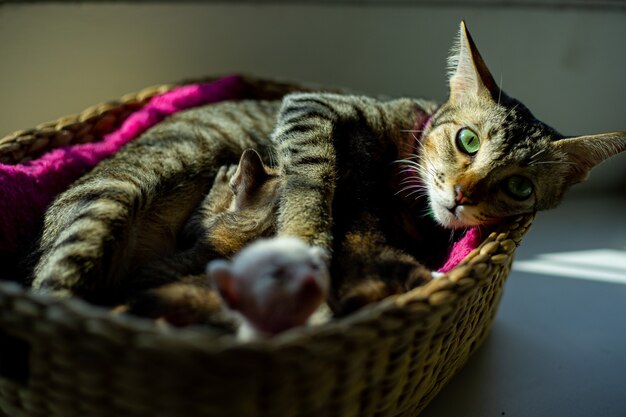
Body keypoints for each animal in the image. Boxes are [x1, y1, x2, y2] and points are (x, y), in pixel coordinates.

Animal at [30, 21, 624, 316]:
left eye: (520, 187)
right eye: (468, 140)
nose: (462, 194)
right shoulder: (310, 107)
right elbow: (312, 172)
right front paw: (305, 240)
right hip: (108, 201)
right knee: (52, 294)